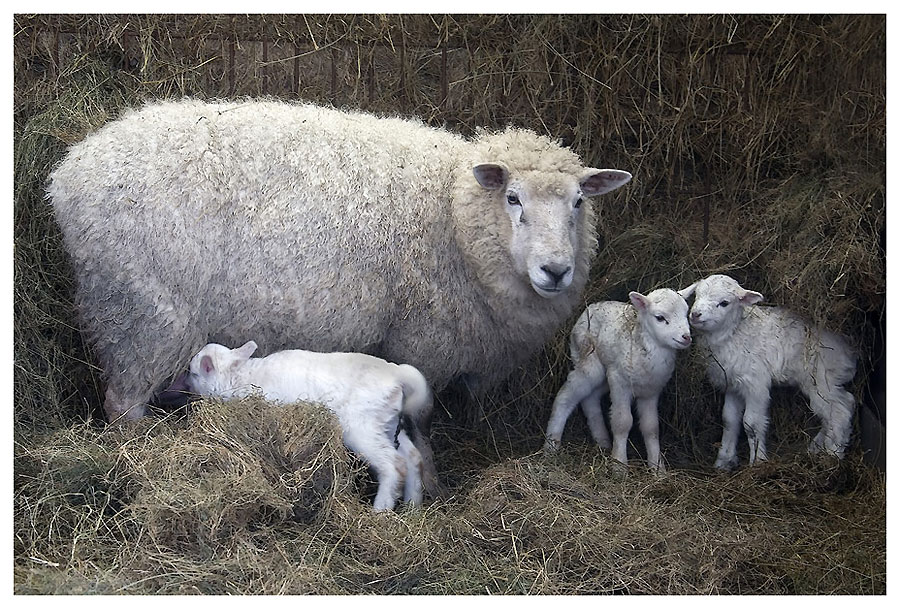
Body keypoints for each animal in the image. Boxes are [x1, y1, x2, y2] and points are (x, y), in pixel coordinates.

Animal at [44, 98, 632, 490]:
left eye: (578, 201)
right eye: (513, 198)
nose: (555, 270)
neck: (453, 212)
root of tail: (70, 170)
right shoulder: (422, 341)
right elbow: (420, 423)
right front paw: (432, 481)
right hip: (140, 313)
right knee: (122, 404)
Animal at [178, 340, 436, 510]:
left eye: (193, 372)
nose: (184, 385)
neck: (240, 377)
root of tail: (396, 373)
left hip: (361, 426)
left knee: (395, 465)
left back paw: (380, 511)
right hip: (387, 423)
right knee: (414, 458)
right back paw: (413, 506)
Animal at [540, 288, 696, 472]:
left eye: (686, 313)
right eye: (660, 317)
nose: (686, 337)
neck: (645, 346)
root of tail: (589, 307)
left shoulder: (651, 392)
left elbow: (651, 428)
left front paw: (658, 469)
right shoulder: (620, 382)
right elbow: (623, 422)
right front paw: (619, 466)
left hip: (605, 375)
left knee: (590, 399)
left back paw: (603, 441)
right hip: (588, 361)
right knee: (565, 396)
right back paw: (551, 446)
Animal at [684, 274, 856, 468]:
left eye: (724, 303)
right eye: (697, 295)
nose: (695, 314)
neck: (734, 332)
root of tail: (849, 346)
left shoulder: (755, 383)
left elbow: (751, 424)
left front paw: (757, 462)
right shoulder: (733, 383)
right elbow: (729, 420)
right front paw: (724, 460)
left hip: (820, 379)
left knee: (840, 411)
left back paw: (833, 454)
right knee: (842, 405)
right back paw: (817, 447)